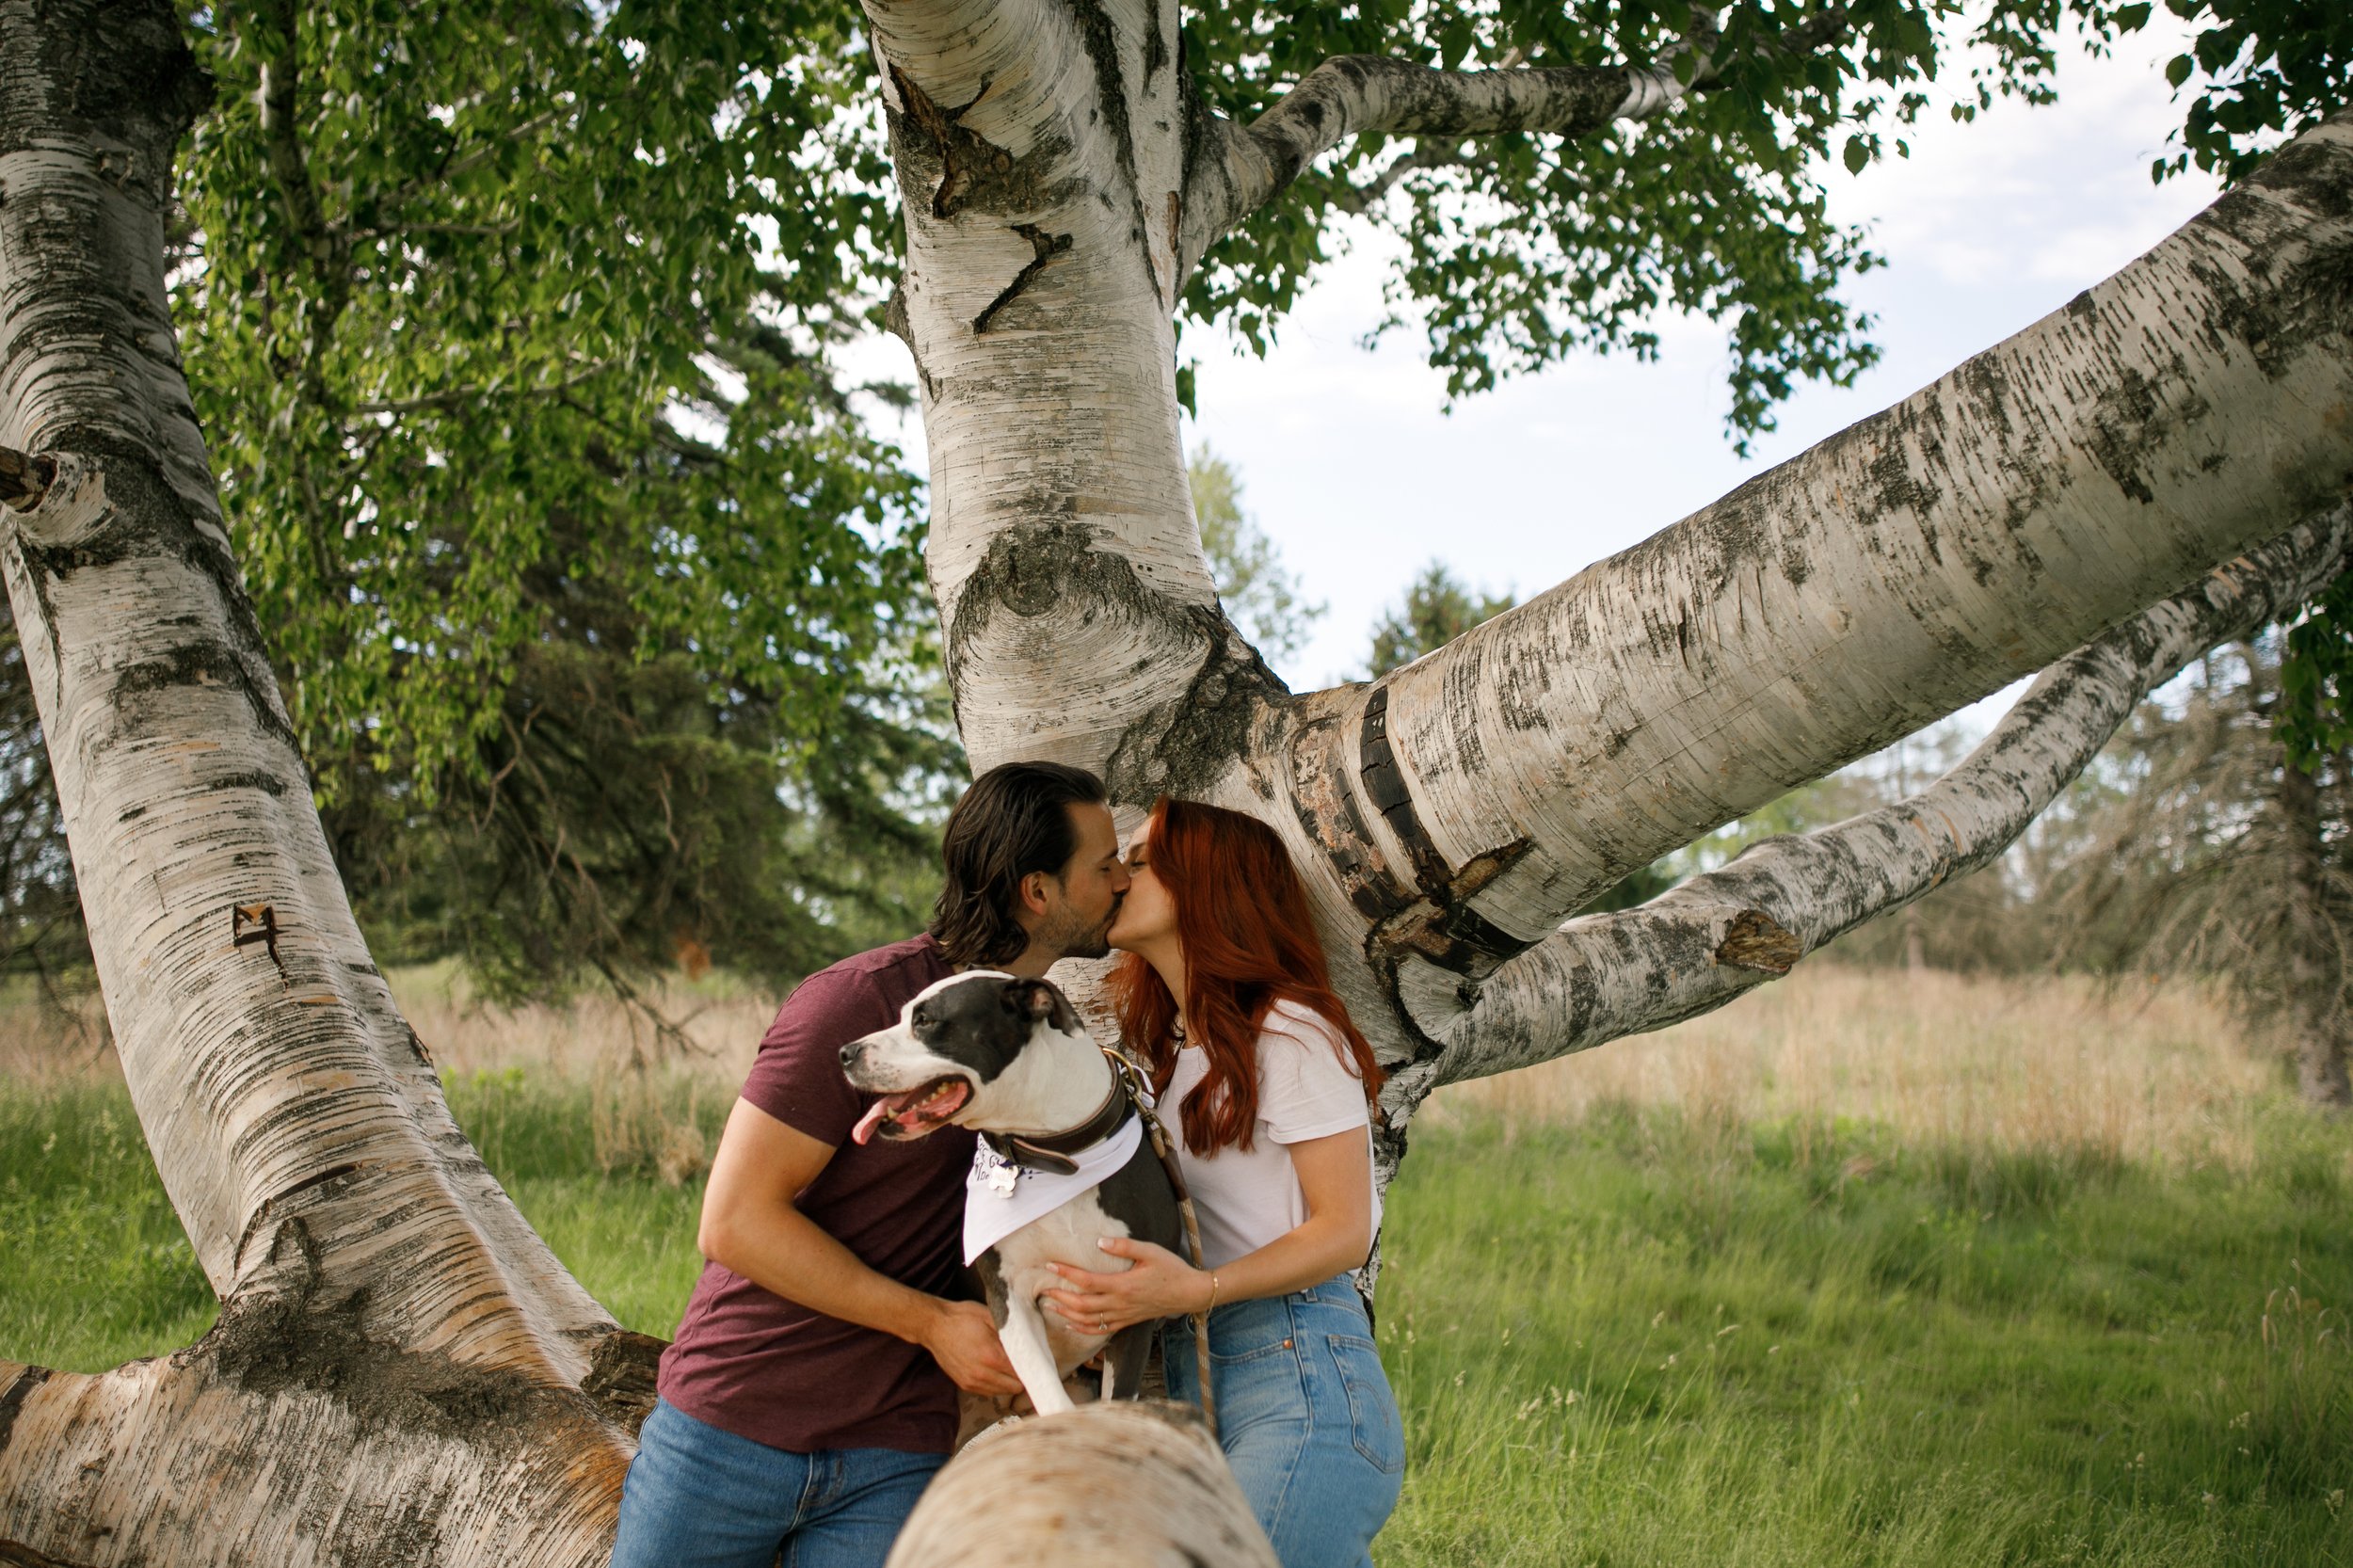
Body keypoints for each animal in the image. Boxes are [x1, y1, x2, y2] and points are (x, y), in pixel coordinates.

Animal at [838, 969, 1186, 1412]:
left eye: (925, 1021)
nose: (846, 1052)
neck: (1057, 1158)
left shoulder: (1136, 1306)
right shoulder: (1010, 1301)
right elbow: (1054, 1402)